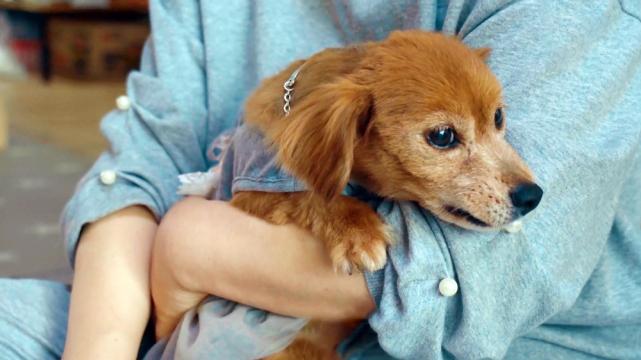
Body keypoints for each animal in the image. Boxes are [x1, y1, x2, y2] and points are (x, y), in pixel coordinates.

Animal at [225, 29, 540, 358]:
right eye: (443, 136)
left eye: (498, 117)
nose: (532, 196)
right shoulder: (253, 188)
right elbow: (310, 196)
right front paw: (357, 232)